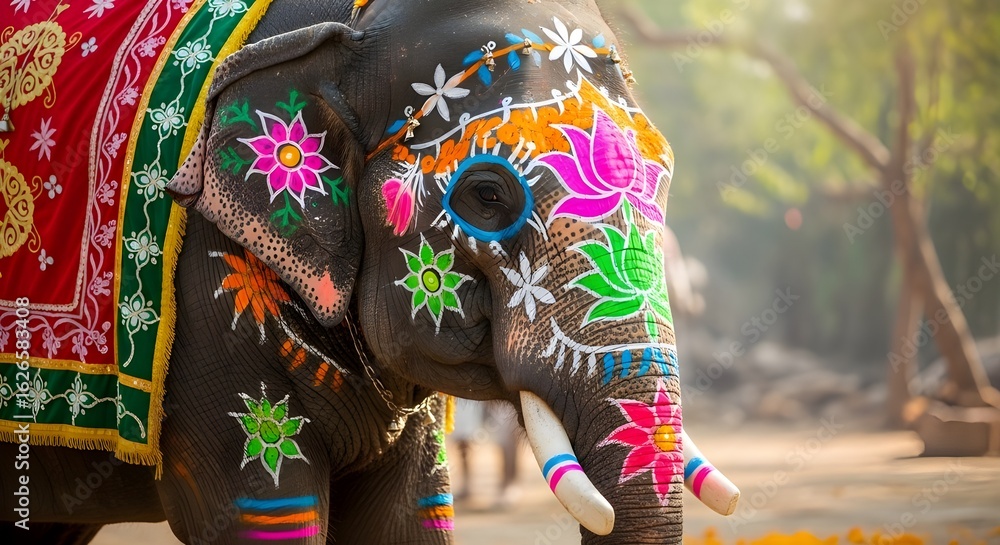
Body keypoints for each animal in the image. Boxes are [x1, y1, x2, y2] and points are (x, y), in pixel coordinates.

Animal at [0, 0, 739, 543]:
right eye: (487, 195)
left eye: (664, 178)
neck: (350, 29)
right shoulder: (205, 301)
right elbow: (261, 505)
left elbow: (405, 515)